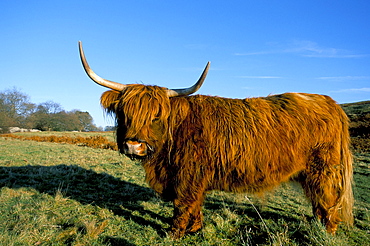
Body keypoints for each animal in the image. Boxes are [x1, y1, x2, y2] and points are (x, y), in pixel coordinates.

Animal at [77, 41, 352, 237]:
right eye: (125, 113)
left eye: (156, 116)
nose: (134, 145)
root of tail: (330, 102)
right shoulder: (191, 177)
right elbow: (195, 204)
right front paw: (195, 229)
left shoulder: (188, 176)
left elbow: (182, 204)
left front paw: (174, 233)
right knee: (318, 201)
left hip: (323, 169)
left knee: (327, 199)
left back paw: (327, 230)